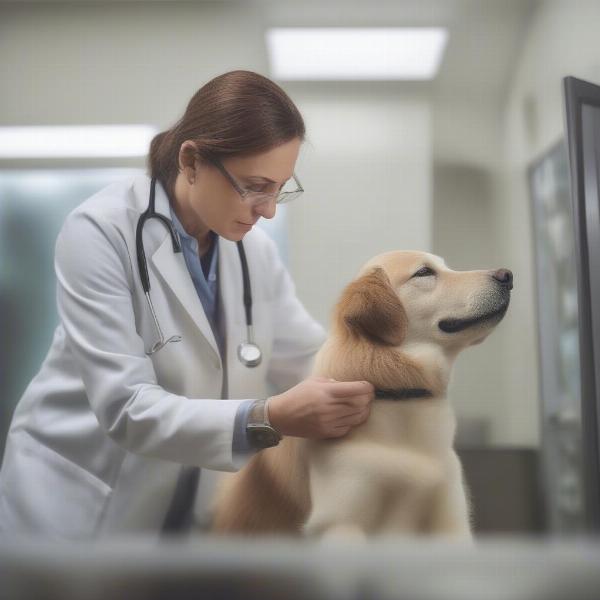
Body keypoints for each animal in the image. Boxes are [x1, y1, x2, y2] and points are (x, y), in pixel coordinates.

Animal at [210, 251, 510, 540]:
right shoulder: (341, 523)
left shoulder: (450, 519)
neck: (397, 394)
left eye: (446, 266)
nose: (507, 275)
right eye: (424, 272)